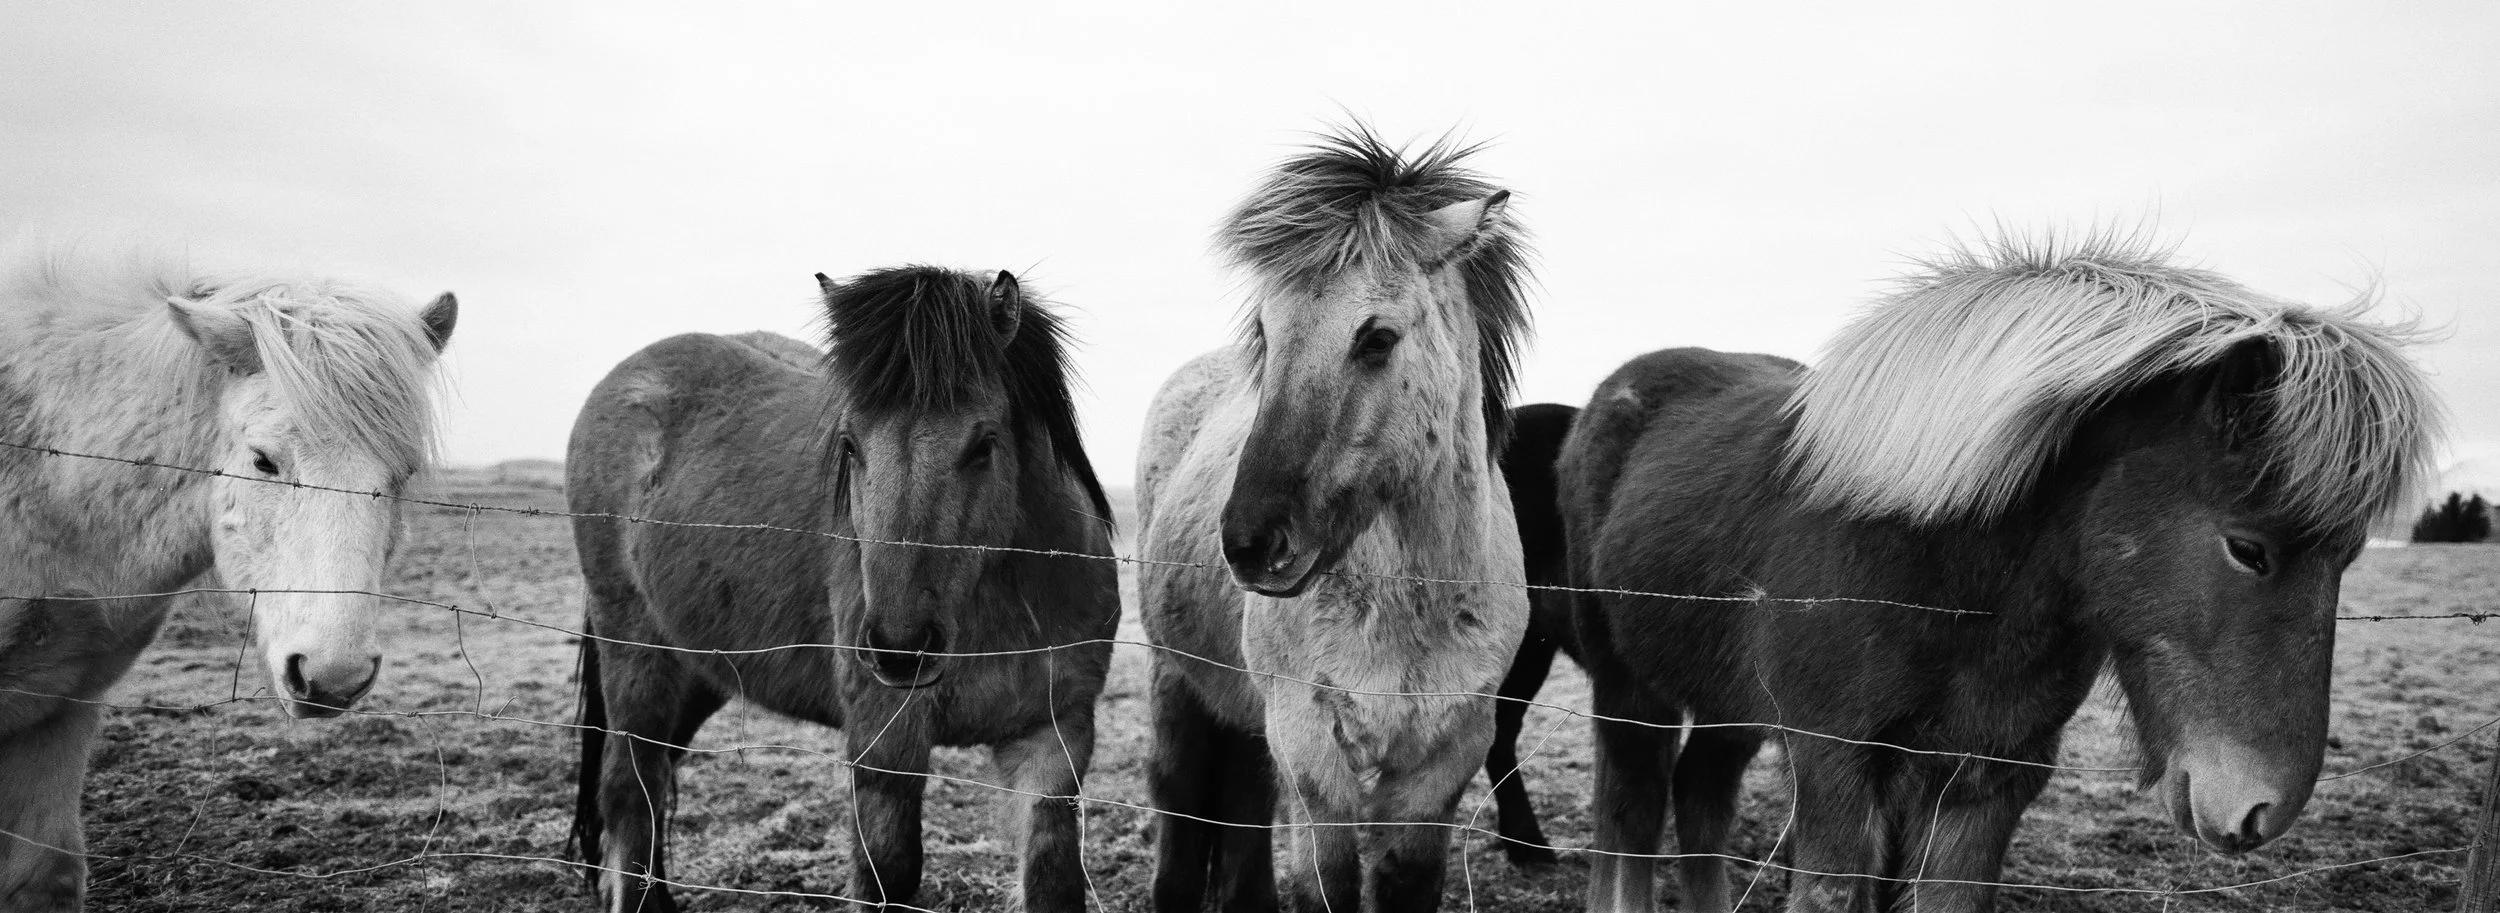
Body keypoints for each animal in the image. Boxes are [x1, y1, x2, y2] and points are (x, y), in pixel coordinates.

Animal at [0, 236, 455, 912]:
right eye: (263, 460)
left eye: (403, 474)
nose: (334, 678)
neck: (50, 478)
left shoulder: (61, 704)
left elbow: (44, 873)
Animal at [567, 266, 1119, 913]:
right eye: (850, 445)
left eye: (984, 443)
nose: (899, 649)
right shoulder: (885, 748)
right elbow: (888, 876)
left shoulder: (1053, 744)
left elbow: (1053, 877)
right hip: (636, 656)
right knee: (628, 792)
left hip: (698, 668)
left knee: (652, 784)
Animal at [1135, 124, 1534, 913]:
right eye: (1266, 332)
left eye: (1377, 337)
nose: (1251, 544)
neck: (1414, 602)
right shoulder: (1311, 751)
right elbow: (1328, 883)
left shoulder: (1446, 759)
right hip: (1176, 681)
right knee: (1181, 803)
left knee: (1243, 798)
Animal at [1559, 236, 2440, 913]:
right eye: (2247, 547)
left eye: (2352, 555)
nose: (2262, 810)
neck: (1950, 570)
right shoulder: (1836, 761)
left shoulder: (1988, 781)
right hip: (1632, 692)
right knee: (1631, 811)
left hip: (1728, 707)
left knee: (1698, 796)